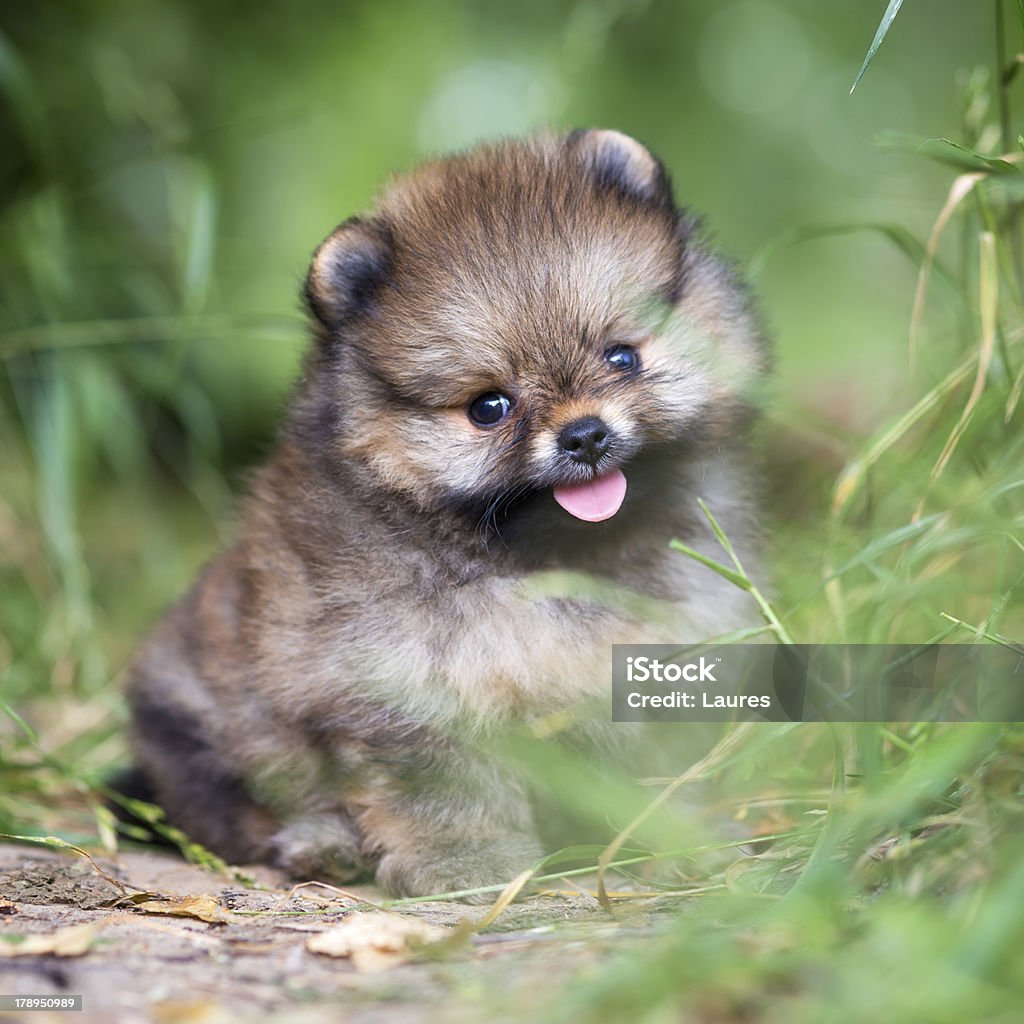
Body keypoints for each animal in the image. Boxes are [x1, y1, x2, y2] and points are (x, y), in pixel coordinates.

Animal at [121, 130, 770, 897]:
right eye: (490, 407)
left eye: (623, 358)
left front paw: (678, 838)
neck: (549, 564)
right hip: (199, 716)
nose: (585, 435)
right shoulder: (409, 681)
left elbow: (657, 769)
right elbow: (445, 787)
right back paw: (322, 844)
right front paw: (469, 863)